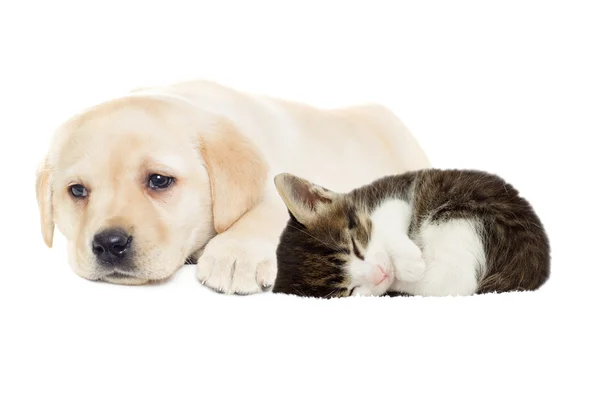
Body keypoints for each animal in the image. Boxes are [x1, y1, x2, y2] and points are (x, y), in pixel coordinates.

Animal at [274, 169, 552, 296]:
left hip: (459, 213)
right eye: (349, 291)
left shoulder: (394, 196)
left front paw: (407, 262)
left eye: (355, 247)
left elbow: (391, 218)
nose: (381, 274)